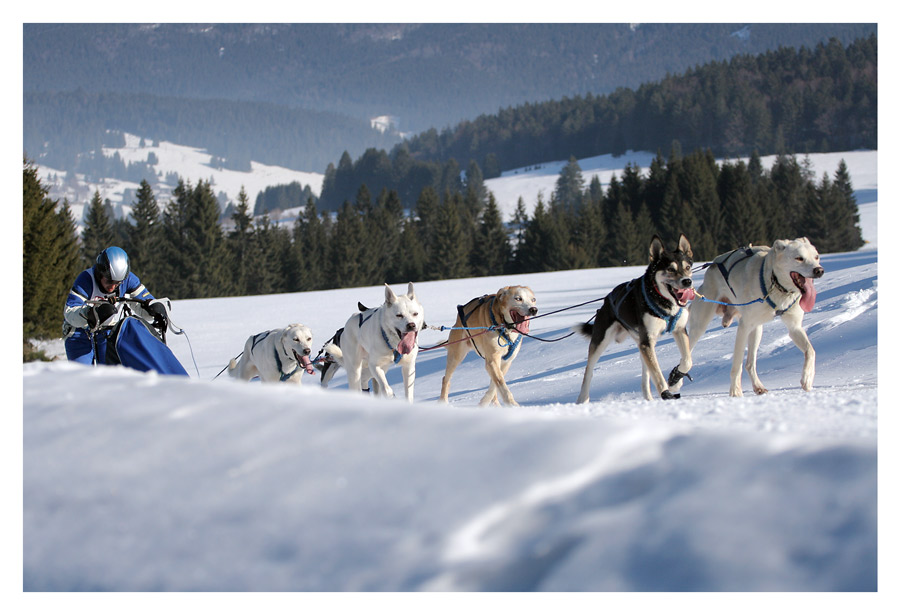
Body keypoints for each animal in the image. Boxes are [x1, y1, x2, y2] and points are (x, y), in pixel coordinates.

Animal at [576, 233, 696, 402]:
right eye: (670, 269)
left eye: (687, 267)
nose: (687, 281)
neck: (661, 299)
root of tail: (607, 300)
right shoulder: (647, 341)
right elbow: (657, 373)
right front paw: (666, 393)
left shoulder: (678, 330)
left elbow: (687, 360)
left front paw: (675, 381)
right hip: (602, 341)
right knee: (589, 371)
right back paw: (583, 399)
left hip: (643, 343)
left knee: (646, 374)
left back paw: (649, 398)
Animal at [668, 236, 824, 400]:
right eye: (799, 258)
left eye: (816, 257)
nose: (819, 270)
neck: (773, 283)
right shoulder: (744, 327)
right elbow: (737, 365)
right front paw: (735, 391)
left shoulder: (794, 327)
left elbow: (810, 351)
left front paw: (807, 378)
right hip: (700, 326)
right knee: (685, 358)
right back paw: (676, 380)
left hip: (757, 330)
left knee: (750, 363)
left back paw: (758, 386)